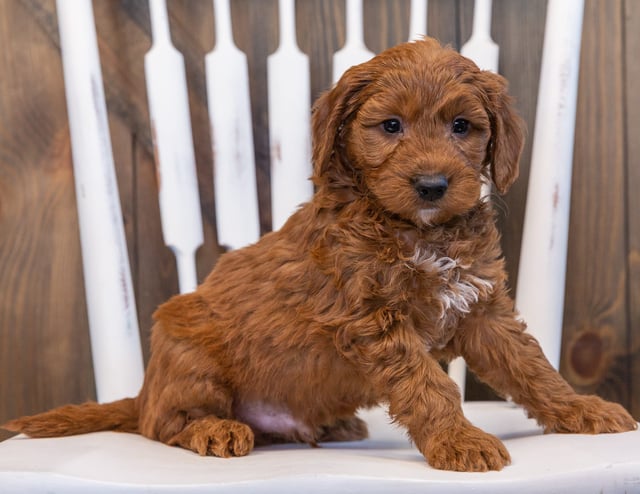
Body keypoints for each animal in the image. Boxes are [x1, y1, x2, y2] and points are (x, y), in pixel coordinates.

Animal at [3, 37, 636, 470]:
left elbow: (532, 367)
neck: (417, 231)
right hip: (189, 353)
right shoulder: (374, 319)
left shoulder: (482, 308)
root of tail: (140, 392)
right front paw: (460, 440)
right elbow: (429, 385)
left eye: (462, 126)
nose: (433, 185)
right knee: (164, 423)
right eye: (390, 126)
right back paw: (214, 430)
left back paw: (331, 426)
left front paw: (583, 410)